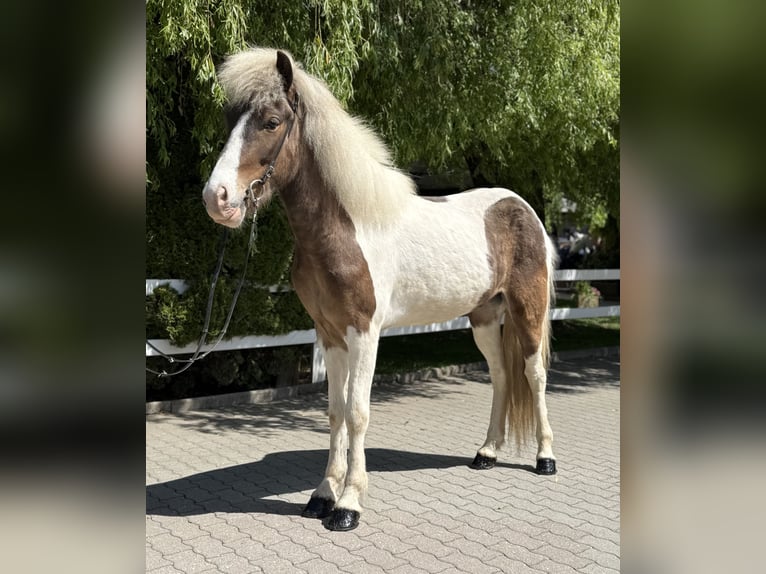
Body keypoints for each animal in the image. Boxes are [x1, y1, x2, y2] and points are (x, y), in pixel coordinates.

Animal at [202, 48, 558, 532]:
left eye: (271, 121)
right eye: (229, 118)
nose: (217, 198)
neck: (347, 228)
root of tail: (522, 208)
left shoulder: (364, 333)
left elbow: (357, 412)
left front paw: (349, 504)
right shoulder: (329, 334)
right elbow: (334, 412)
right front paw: (322, 496)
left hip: (528, 309)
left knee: (533, 374)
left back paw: (545, 458)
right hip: (484, 318)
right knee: (502, 375)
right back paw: (486, 453)